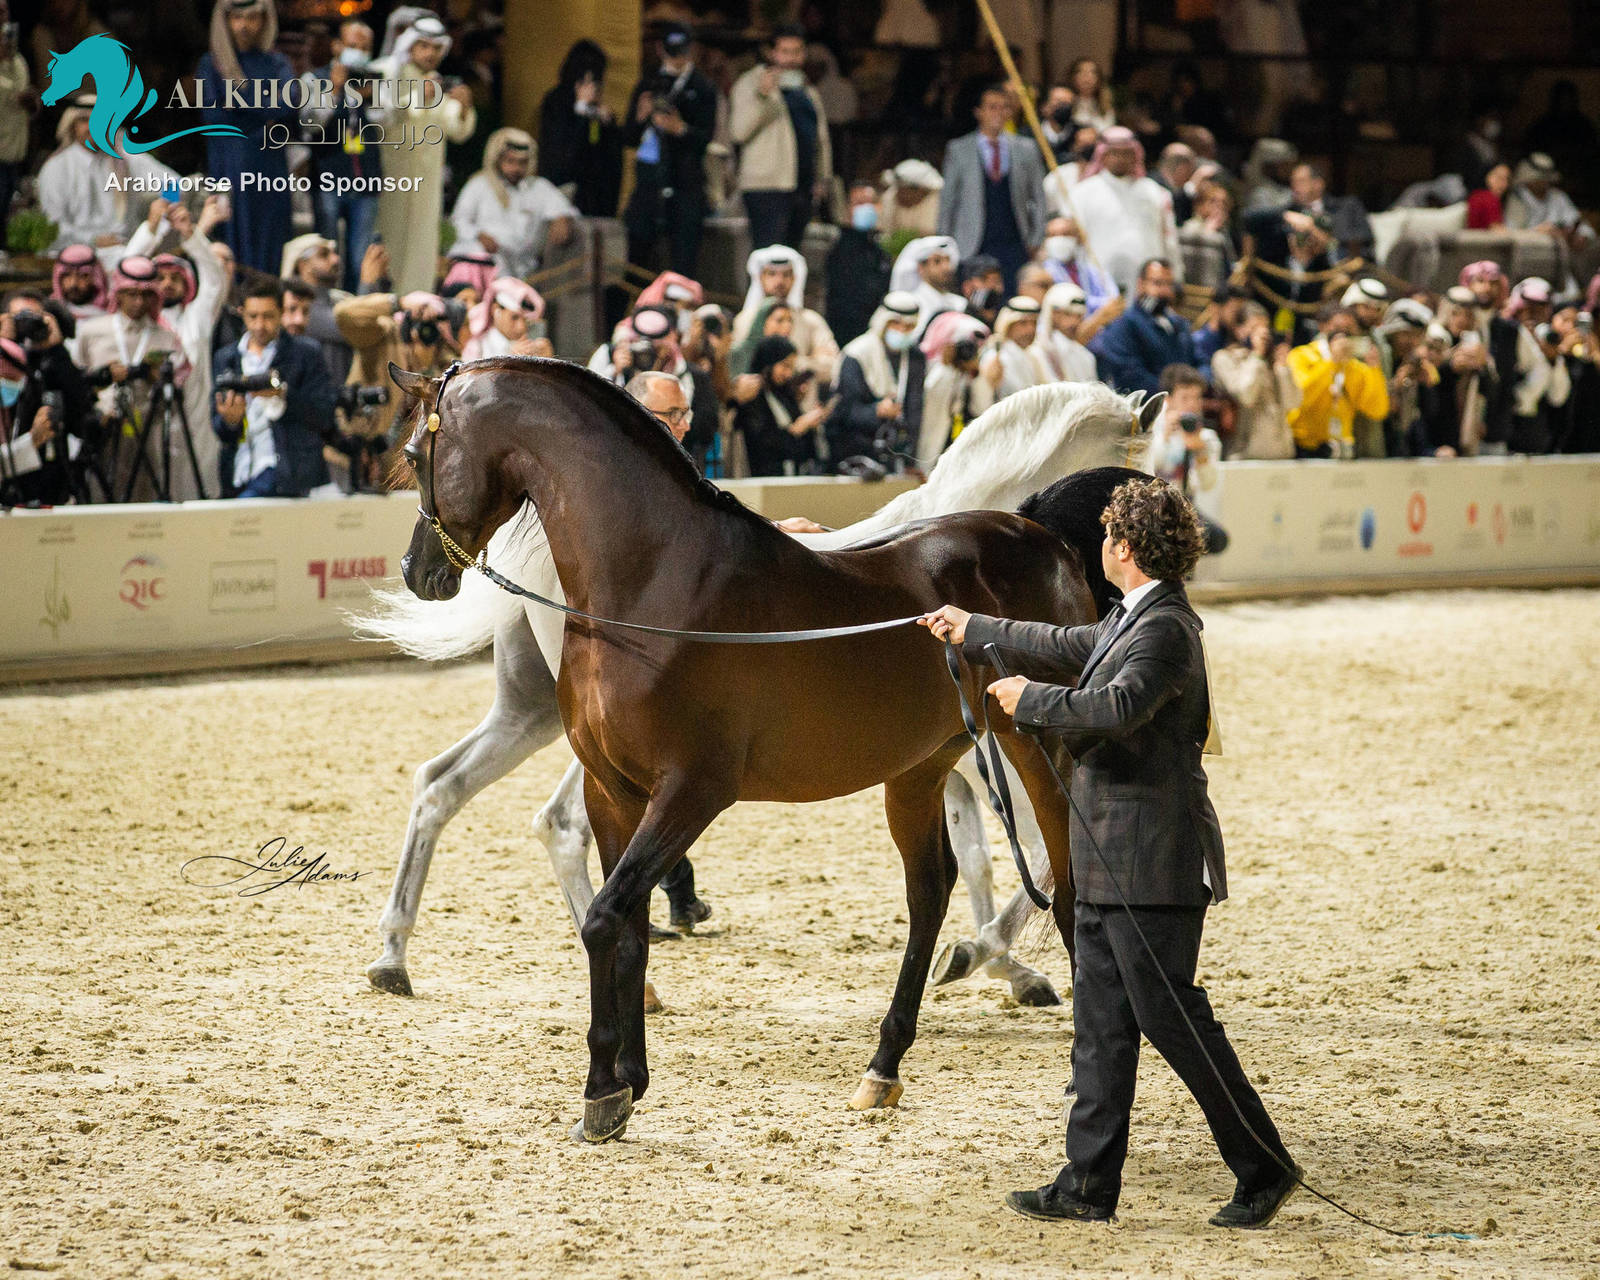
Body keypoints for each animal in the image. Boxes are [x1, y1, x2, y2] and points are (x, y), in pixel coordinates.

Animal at [391, 356, 1102, 1142]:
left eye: (413, 455)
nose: (419, 571)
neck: (654, 584)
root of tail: (1047, 543)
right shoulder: (615, 791)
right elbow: (625, 923)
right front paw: (629, 1081)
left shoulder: (691, 791)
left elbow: (606, 917)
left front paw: (601, 1093)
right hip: (920, 768)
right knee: (931, 891)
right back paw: (884, 1067)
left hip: (1035, 750)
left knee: (1067, 881)